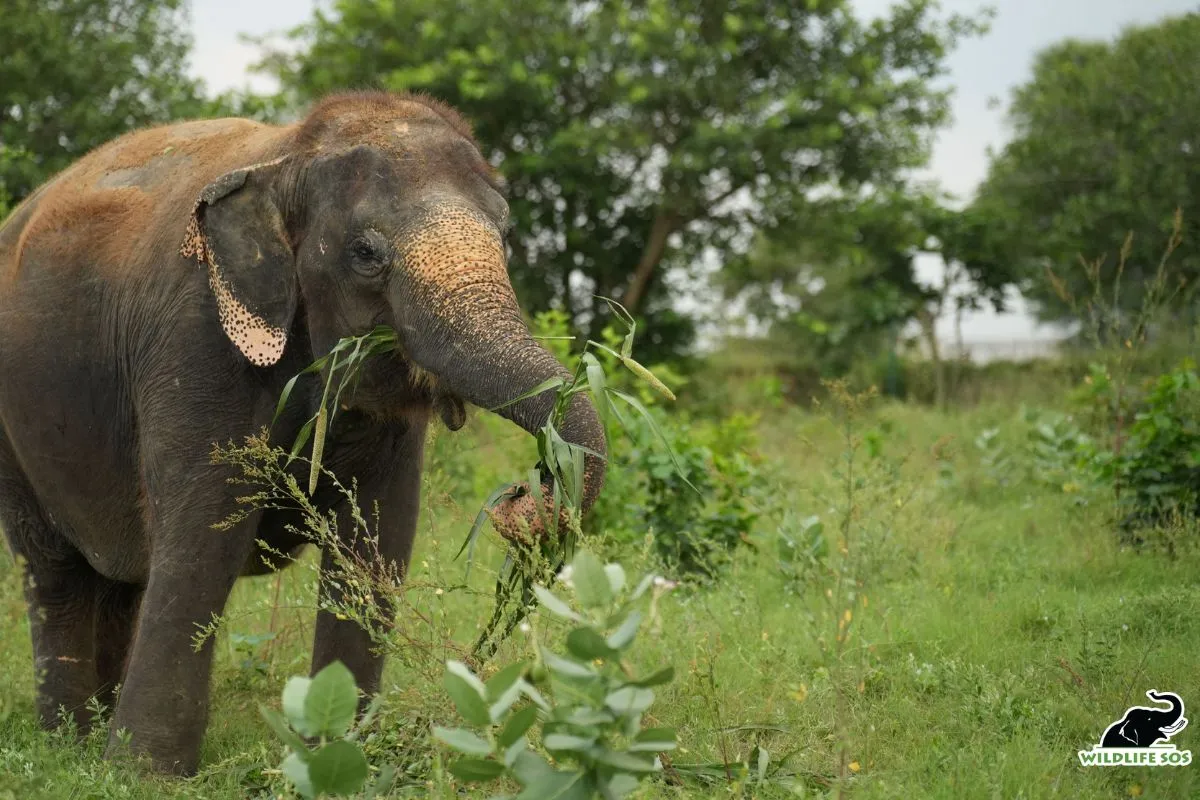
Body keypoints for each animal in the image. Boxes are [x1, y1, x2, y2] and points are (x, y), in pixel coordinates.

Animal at [0, 92, 604, 777]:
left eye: (505, 237)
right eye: (365, 252)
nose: (527, 494)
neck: (289, 155)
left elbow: (378, 537)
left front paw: (342, 759)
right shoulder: (194, 335)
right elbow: (205, 532)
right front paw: (144, 775)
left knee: (118, 579)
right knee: (53, 572)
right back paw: (67, 746)